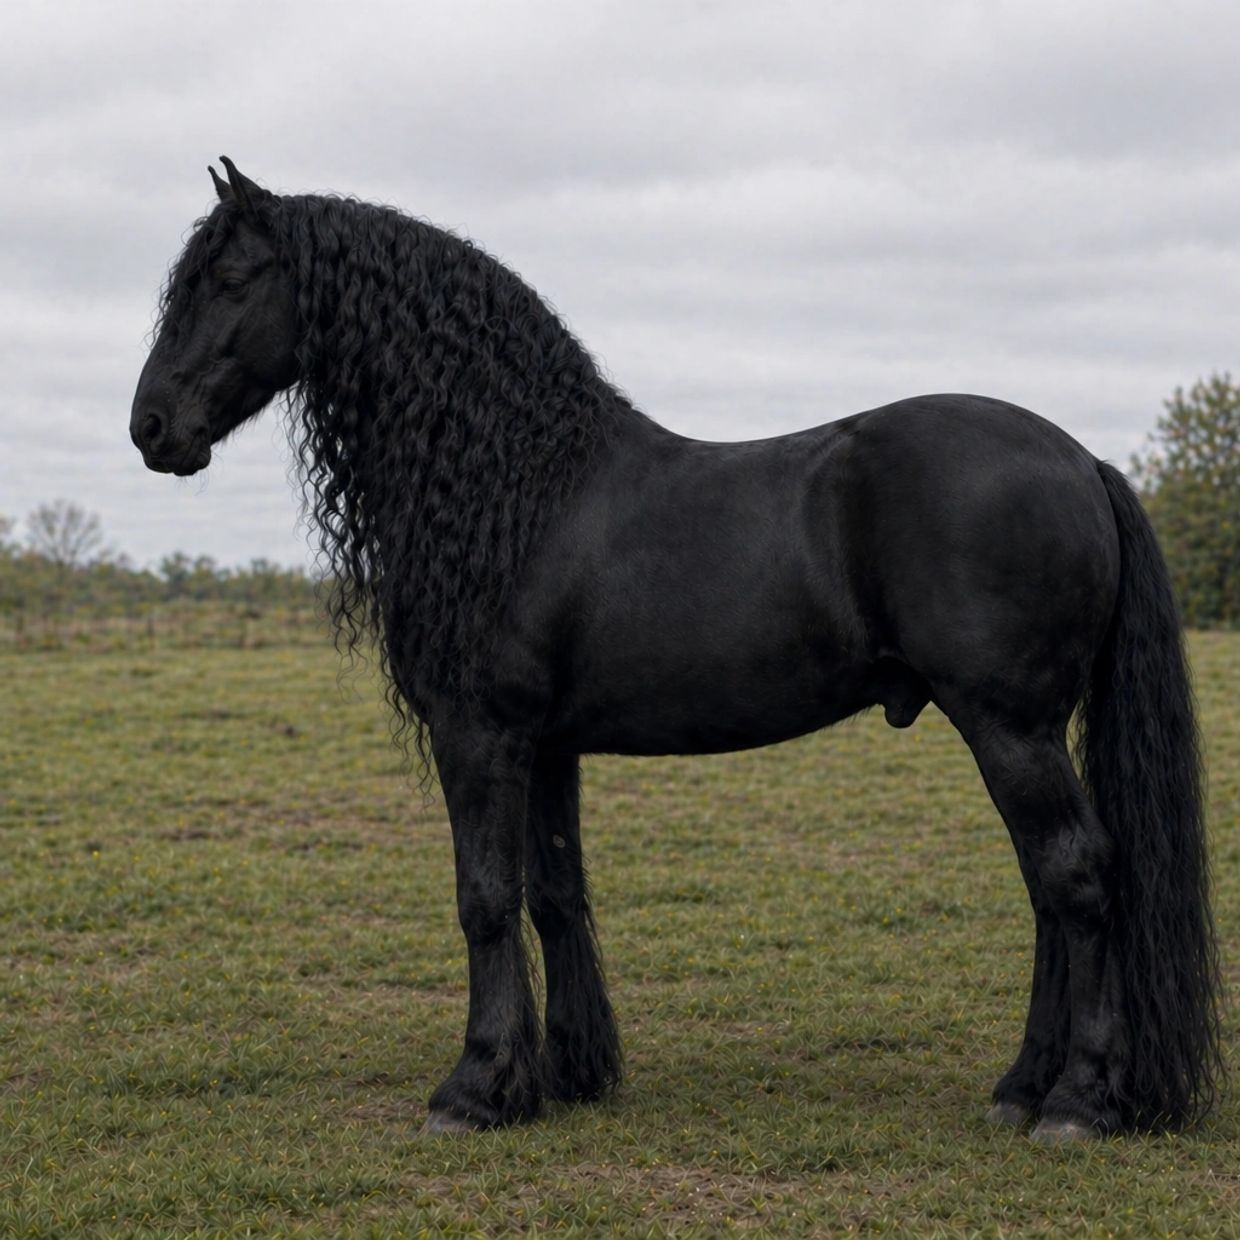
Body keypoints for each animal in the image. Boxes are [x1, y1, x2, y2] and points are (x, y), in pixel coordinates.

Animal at [130, 158, 1223, 1142]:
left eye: (229, 280)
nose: (151, 427)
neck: (518, 490)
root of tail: (1081, 459)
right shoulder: (546, 742)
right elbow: (553, 893)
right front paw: (563, 1077)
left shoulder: (479, 732)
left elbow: (484, 897)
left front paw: (474, 1089)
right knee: (1048, 893)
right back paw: (1020, 1088)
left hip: (1011, 726)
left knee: (1077, 878)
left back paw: (1075, 1103)